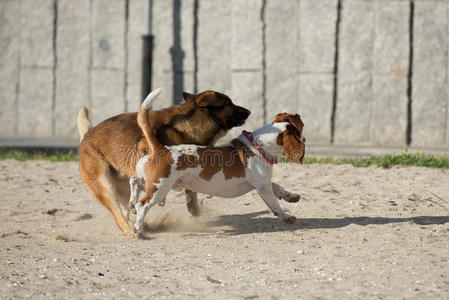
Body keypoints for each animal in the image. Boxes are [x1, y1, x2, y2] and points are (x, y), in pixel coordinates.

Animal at [78, 89, 250, 234]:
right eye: (228, 102)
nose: (249, 111)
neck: (188, 125)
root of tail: (87, 135)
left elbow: (191, 191)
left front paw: (193, 206)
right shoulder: (146, 145)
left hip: (122, 186)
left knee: (129, 203)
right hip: (105, 186)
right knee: (118, 214)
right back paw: (131, 230)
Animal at [128, 88, 306, 236]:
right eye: (298, 134)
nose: (304, 139)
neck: (257, 146)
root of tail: (161, 148)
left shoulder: (263, 183)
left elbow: (278, 187)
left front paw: (291, 196)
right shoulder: (262, 187)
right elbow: (275, 205)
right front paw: (287, 217)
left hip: (151, 184)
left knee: (134, 182)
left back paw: (132, 201)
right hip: (160, 188)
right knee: (142, 205)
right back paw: (138, 230)